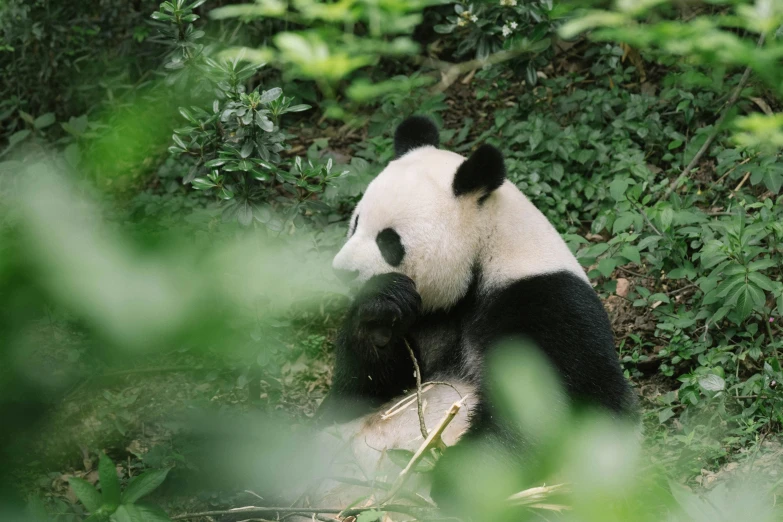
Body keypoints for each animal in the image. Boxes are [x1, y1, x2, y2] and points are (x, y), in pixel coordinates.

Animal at [306, 116, 636, 510]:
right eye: (356, 224)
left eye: (389, 241)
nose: (341, 271)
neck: (486, 254)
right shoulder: (430, 318)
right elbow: (368, 387)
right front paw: (380, 313)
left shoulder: (546, 301)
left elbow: (557, 403)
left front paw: (457, 481)